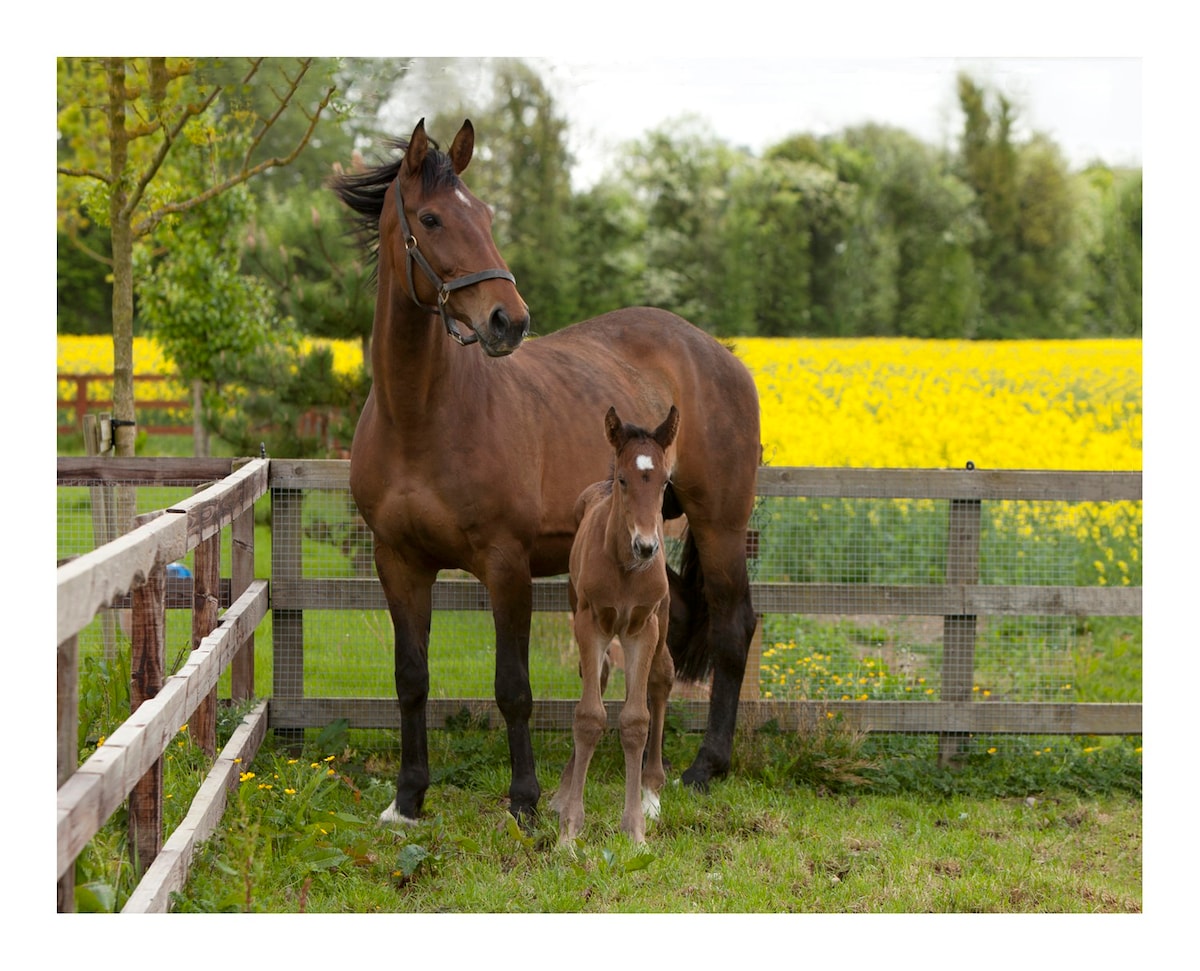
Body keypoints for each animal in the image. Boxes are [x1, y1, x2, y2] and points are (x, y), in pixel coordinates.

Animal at [549, 400, 681, 840]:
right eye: (624, 479)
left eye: (664, 482)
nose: (647, 547)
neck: (625, 567)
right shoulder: (591, 623)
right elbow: (589, 715)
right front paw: (569, 830)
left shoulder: (643, 627)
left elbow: (636, 720)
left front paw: (636, 830)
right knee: (600, 676)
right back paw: (563, 791)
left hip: (661, 620)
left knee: (661, 676)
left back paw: (652, 790)